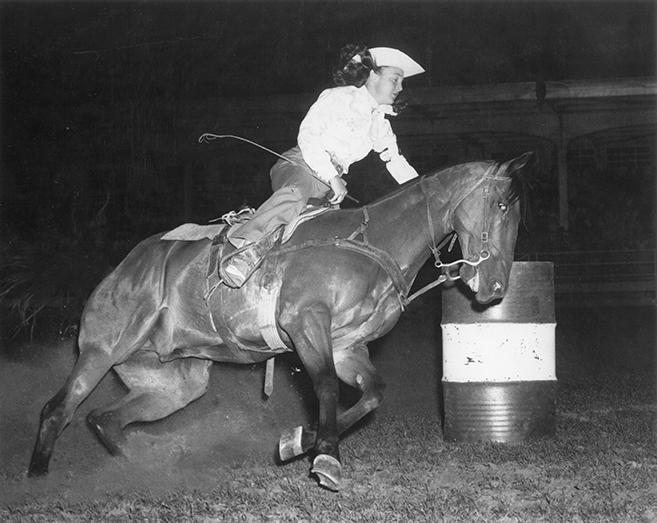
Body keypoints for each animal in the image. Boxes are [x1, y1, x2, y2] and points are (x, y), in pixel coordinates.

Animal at [28, 152, 533, 490]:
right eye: (501, 206)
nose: (496, 289)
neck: (372, 243)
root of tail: (123, 268)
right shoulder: (306, 325)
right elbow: (325, 386)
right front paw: (325, 458)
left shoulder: (347, 347)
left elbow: (372, 393)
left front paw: (301, 442)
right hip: (103, 349)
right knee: (59, 408)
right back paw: (37, 476)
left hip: (173, 382)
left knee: (103, 419)